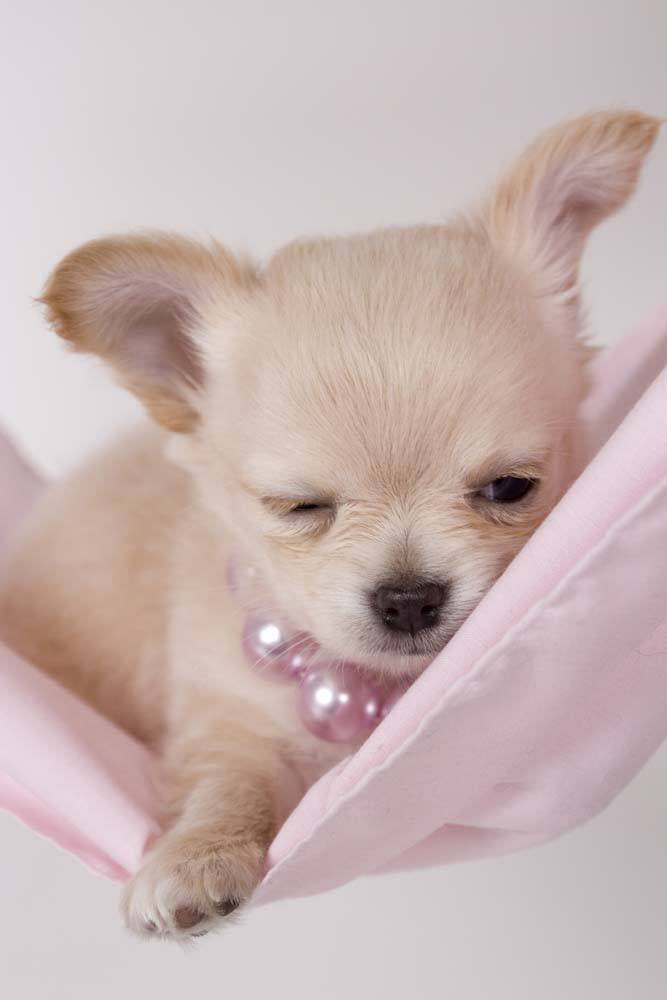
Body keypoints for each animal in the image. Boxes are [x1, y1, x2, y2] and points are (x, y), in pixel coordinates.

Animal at [0, 109, 656, 936]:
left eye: (510, 488)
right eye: (299, 506)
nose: (408, 598)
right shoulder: (222, 707)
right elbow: (227, 780)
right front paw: (196, 857)